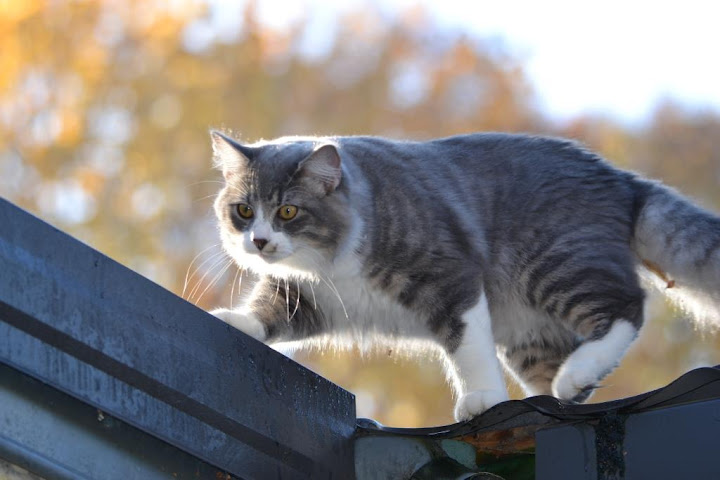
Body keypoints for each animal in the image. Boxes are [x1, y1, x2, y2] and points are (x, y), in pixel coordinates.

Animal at [207, 129, 720, 422]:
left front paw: (483, 398)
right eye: (244, 210)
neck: (330, 264)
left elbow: (467, 348)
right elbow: (265, 312)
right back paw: (566, 386)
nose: (259, 242)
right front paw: (232, 319)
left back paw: (576, 373)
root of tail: (620, 179)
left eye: (288, 211)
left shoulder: (450, 278)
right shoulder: (307, 297)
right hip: (530, 333)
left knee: (626, 309)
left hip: (558, 264)